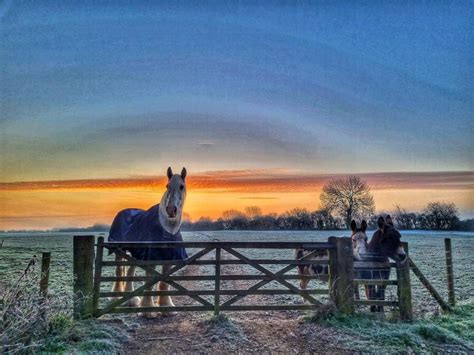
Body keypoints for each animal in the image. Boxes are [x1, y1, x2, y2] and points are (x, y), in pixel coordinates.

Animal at [108, 166, 188, 318]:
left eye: (181, 186)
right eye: (167, 186)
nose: (171, 210)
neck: (167, 229)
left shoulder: (168, 258)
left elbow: (164, 283)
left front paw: (166, 308)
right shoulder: (151, 257)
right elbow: (150, 282)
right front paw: (148, 311)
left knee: (130, 272)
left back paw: (132, 300)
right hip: (119, 251)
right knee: (119, 271)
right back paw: (117, 297)